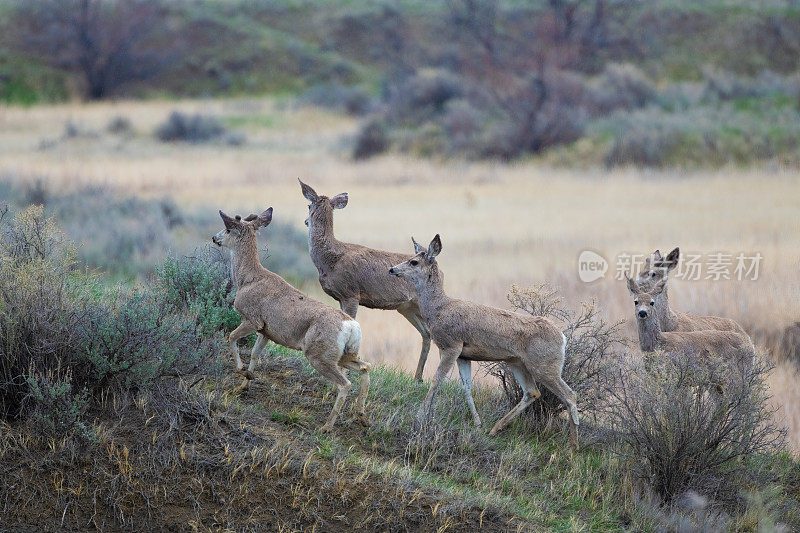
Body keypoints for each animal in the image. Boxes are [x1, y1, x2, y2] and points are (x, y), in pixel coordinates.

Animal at [214, 206, 374, 430]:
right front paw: (245, 383)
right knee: (365, 368)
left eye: (228, 229)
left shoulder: (252, 319)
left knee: (344, 383)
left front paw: (242, 371)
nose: (215, 238)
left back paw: (327, 426)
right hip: (344, 354)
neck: (247, 279)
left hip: (318, 354)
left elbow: (231, 338)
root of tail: (351, 326)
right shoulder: (266, 330)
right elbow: (254, 354)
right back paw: (361, 416)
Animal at [296, 181, 432, 380]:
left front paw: (346, 370)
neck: (329, 260)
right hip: (407, 308)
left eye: (308, 205)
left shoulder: (351, 293)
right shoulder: (341, 297)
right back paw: (418, 378)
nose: (306, 221)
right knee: (427, 333)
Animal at [386, 235, 580, 446]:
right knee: (532, 392)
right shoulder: (463, 355)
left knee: (570, 395)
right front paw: (477, 423)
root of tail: (563, 338)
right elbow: (466, 387)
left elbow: (437, 379)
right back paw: (495, 428)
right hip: (517, 362)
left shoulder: (451, 345)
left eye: (413, 262)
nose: (392, 269)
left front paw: (420, 415)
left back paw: (573, 447)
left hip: (544, 364)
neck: (438, 309)